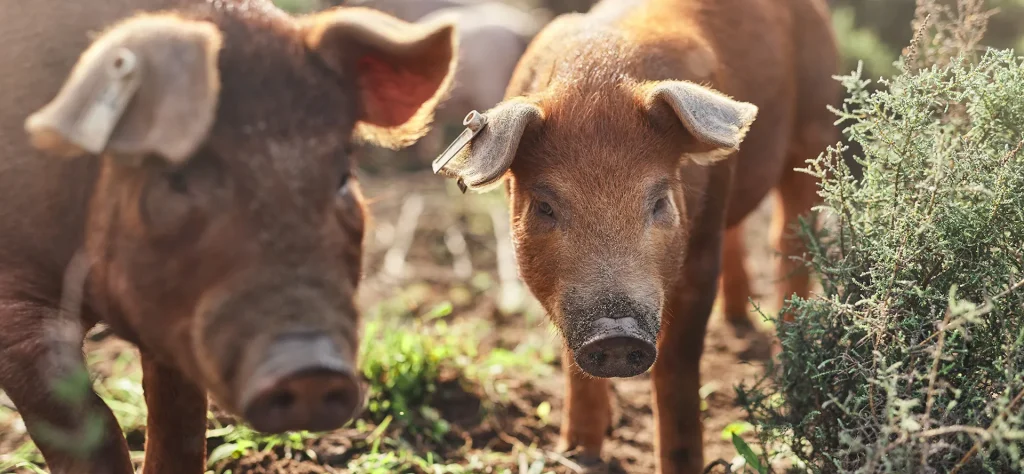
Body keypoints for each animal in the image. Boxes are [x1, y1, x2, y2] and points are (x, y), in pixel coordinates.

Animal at [0, 0, 456, 474]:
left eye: (343, 177)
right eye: (176, 177)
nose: (310, 370)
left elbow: (180, 415)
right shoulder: (14, 303)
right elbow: (89, 425)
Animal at [432, 0, 839, 470]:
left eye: (659, 201)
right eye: (544, 207)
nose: (615, 332)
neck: (597, 77)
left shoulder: (699, 254)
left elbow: (677, 365)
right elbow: (574, 366)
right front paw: (579, 453)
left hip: (814, 128)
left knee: (789, 240)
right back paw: (738, 322)